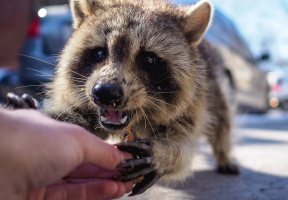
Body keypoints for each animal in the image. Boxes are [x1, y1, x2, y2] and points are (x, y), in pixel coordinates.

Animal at [40, 0, 238, 195]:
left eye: (148, 59)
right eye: (100, 53)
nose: (105, 92)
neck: (139, 118)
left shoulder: (195, 100)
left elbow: (184, 143)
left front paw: (166, 154)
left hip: (213, 85)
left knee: (222, 118)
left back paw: (223, 153)